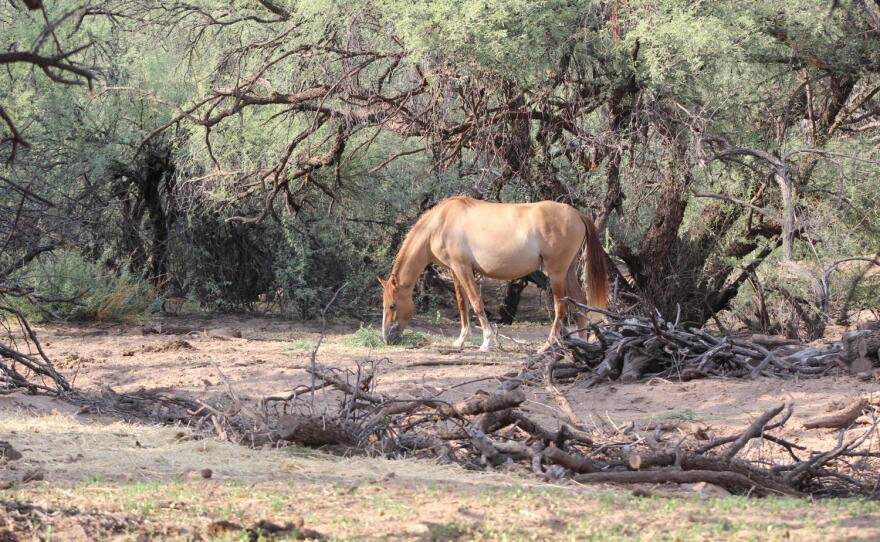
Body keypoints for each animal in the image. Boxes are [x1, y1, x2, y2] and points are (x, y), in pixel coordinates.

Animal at [378, 196, 609, 350]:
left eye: (392, 305)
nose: (387, 338)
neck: (440, 223)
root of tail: (576, 214)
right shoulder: (454, 270)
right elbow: (462, 304)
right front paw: (461, 340)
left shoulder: (463, 268)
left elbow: (476, 302)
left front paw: (487, 341)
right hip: (568, 272)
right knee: (579, 301)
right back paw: (580, 341)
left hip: (556, 272)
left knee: (561, 306)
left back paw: (548, 345)